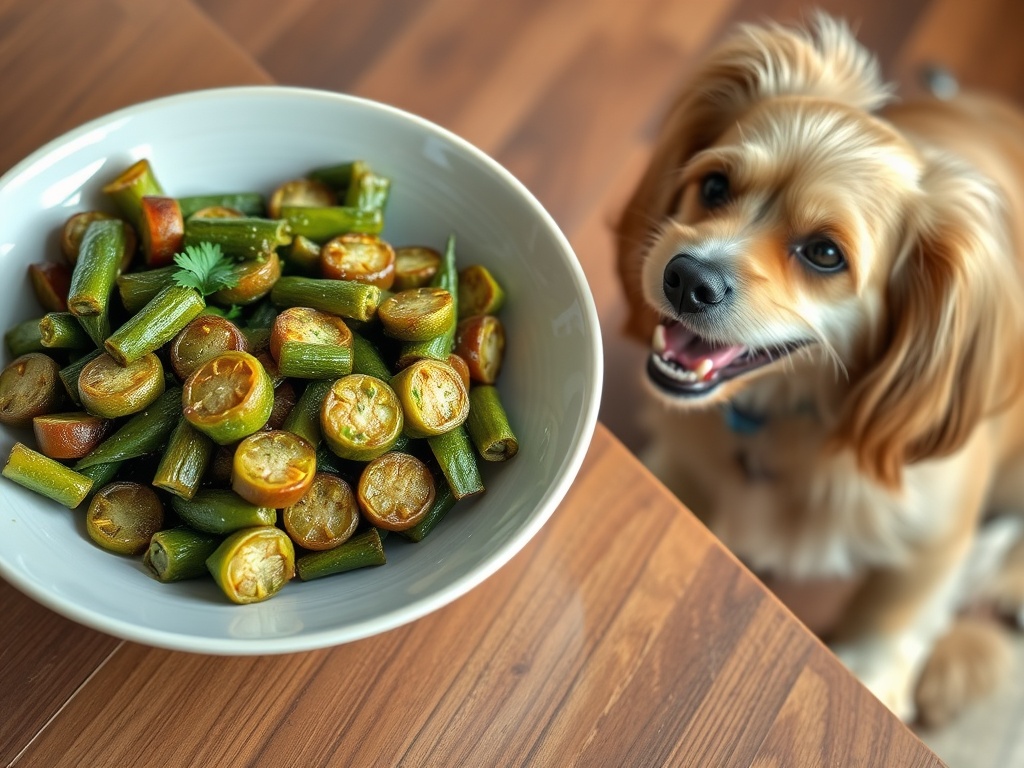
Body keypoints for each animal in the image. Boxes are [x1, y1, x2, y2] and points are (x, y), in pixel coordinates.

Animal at [618, 13, 1024, 729]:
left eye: (825, 254)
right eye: (715, 186)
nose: (686, 277)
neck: (791, 422)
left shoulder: (933, 545)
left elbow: (888, 636)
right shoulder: (680, 469)